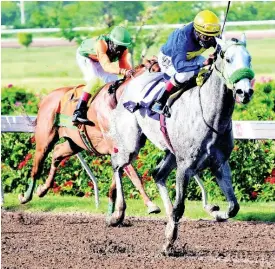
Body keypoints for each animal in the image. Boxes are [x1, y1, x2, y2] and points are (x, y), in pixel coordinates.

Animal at [18, 59, 162, 214]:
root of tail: (48, 97)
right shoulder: (118, 146)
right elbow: (134, 175)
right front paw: (151, 205)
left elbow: (117, 182)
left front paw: (112, 211)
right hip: (45, 139)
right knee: (37, 166)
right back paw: (25, 196)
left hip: (75, 143)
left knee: (57, 153)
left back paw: (42, 189)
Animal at [107, 35, 254, 253]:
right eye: (228, 59)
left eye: (249, 59)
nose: (245, 92)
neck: (211, 116)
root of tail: (129, 83)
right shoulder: (185, 165)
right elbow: (180, 207)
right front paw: (169, 242)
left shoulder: (219, 164)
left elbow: (233, 206)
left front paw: (215, 212)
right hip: (131, 143)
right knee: (117, 164)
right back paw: (117, 214)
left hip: (170, 152)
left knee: (157, 174)